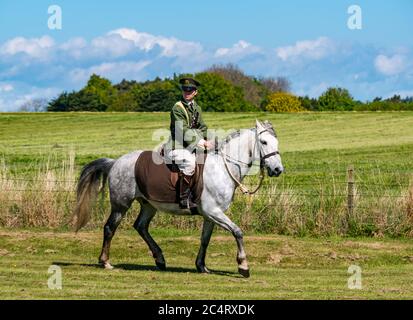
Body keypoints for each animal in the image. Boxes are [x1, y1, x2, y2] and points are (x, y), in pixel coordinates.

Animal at [72, 120, 282, 278]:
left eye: (276, 142)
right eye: (264, 142)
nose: (278, 170)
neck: (223, 166)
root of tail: (116, 162)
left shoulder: (211, 215)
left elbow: (205, 239)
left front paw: (202, 266)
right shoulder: (213, 212)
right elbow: (238, 232)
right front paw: (243, 266)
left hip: (148, 205)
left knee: (141, 226)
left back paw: (159, 259)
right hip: (120, 205)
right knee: (110, 228)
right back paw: (105, 262)